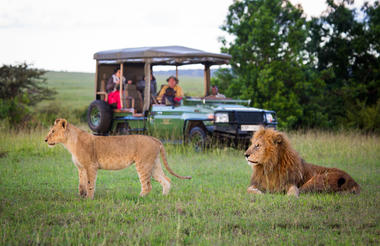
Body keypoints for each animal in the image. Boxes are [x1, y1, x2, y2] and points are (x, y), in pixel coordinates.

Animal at [45, 118, 191, 198]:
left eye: (53, 131)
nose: (45, 140)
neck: (69, 143)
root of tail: (154, 138)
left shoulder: (91, 166)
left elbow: (90, 184)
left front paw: (89, 199)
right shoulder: (81, 168)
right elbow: (81, 184)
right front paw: (81, 197)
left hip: (142, 164)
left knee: (147, 186)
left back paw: (138, 198)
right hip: (153, 164)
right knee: (166, 180)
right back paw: (163, 197)